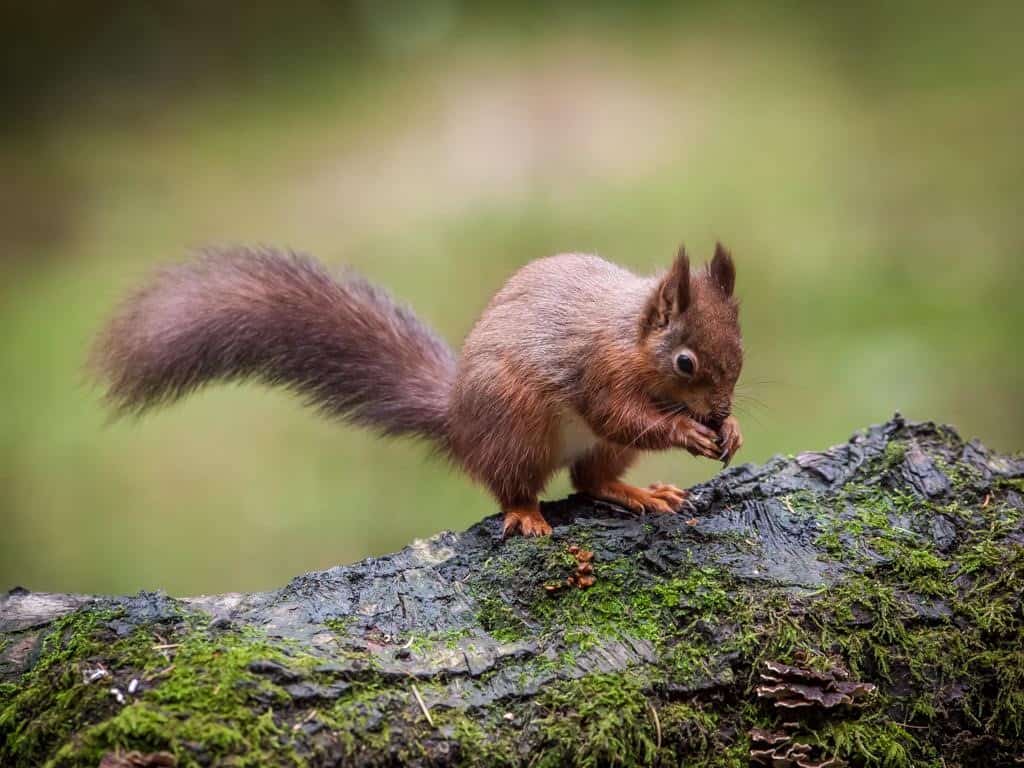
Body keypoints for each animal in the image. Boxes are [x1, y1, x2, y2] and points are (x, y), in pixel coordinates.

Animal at [90, 243, 743, 537]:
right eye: (685, 362)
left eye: (741, 350)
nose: (718, 411)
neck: (629, 336)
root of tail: (457, 420)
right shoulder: (599, 372)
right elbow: (621, 414)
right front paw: (687, 430)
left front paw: (729, 431)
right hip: (516, 425)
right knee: (514, 483)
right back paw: (526, 514)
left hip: (586, 450)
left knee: (591, 478)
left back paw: (637, 492)